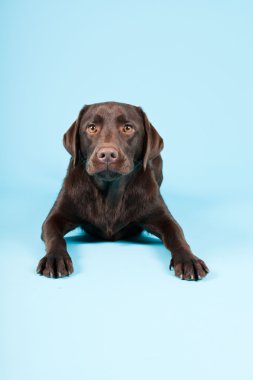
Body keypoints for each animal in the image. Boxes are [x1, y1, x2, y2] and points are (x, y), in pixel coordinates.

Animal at [36, 101, 210, 280]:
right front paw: (55, 258)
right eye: (92, 128)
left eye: (127, 128)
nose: (107, 154)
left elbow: (177, 236)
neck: (110, 191)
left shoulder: (163, 218)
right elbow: (55, 237)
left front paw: (189, 260)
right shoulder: (54, 217)